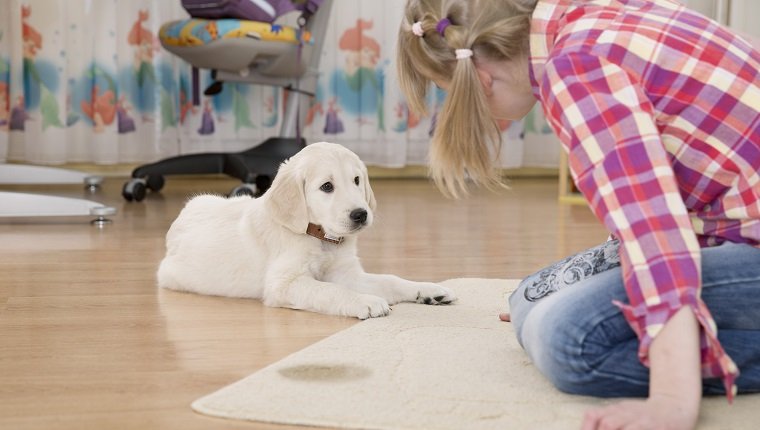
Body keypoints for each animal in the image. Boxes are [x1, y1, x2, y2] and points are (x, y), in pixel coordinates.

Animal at [157, 141, 454, 320]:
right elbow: (330, 291)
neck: (321, 238)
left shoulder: (347, 274)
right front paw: (366, 301)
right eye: (327, 186)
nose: (361, 214)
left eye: (357, 180)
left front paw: (427, 290)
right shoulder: (284, 284)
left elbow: (390, 280)